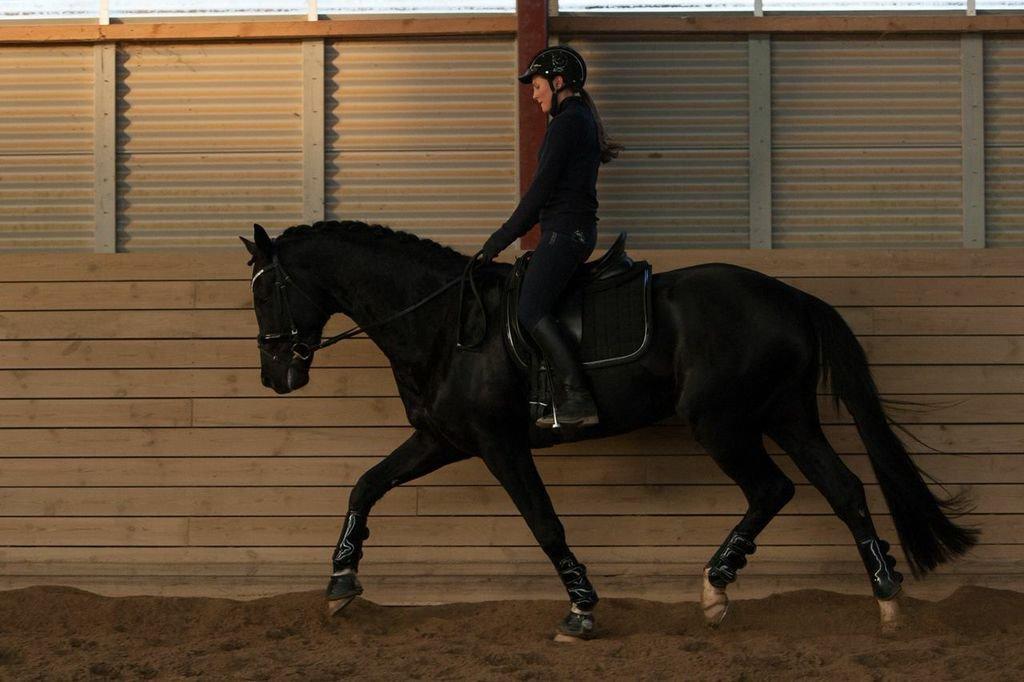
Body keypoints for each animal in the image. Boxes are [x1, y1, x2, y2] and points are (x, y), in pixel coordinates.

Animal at [239, 219, 974, 638]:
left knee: (774, 490)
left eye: (266, 290)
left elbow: (544, 523)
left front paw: (582, 609)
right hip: (786, 416)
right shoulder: (444, 440)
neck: (445, 322)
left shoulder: (498, 443)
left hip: (722, 420)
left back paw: (717, 588)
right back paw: (884, 599)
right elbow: (366, 485)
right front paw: (340, 583)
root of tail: (792, 296)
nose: (276, 376)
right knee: (842, 488)